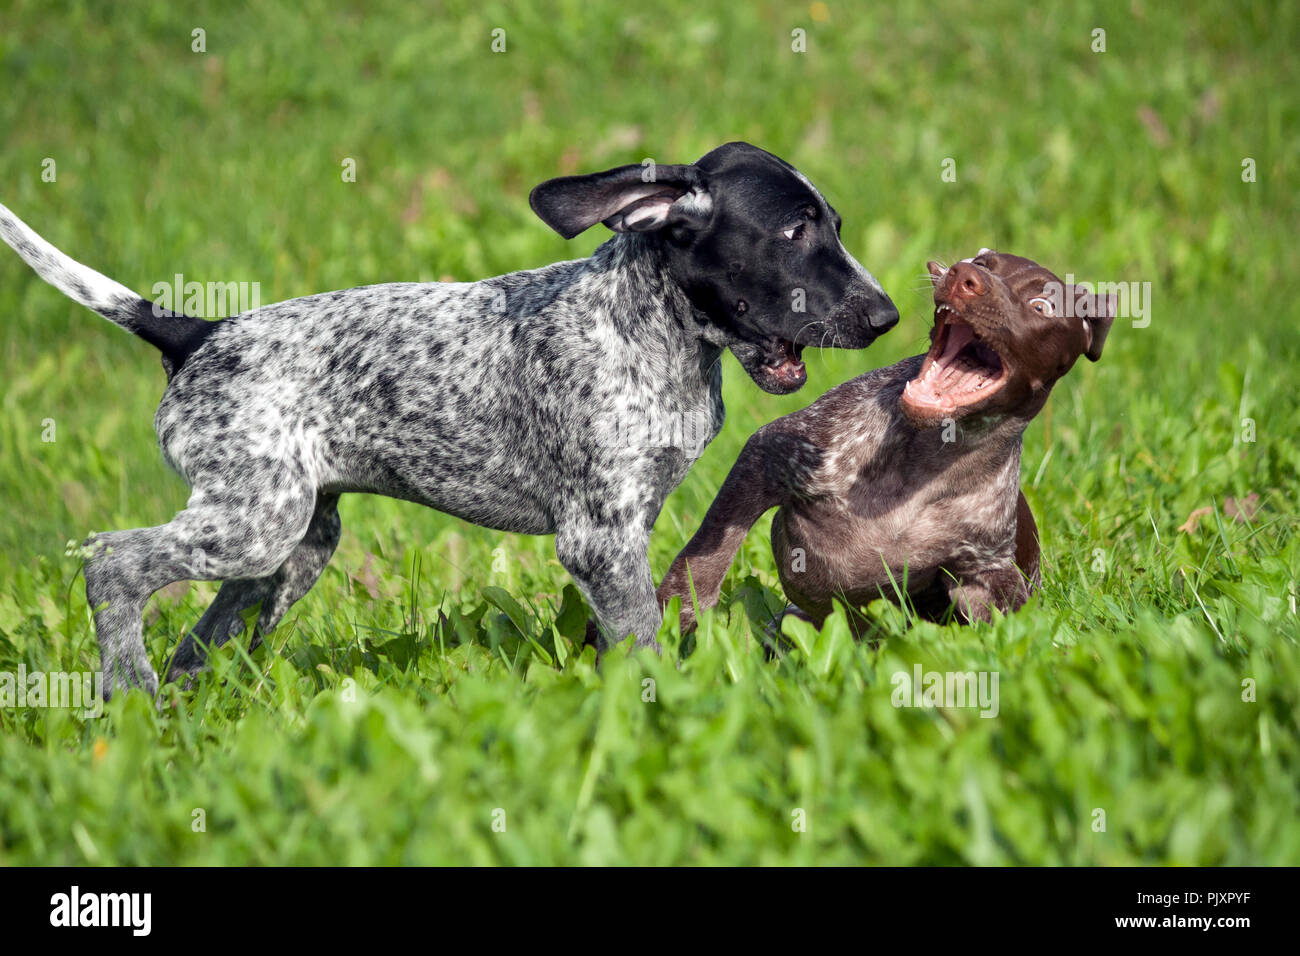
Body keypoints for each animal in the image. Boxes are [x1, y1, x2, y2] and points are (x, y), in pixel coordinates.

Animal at [0, 141, 894, 697]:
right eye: (793, 231)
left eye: (835, 227)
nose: (887, 316)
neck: (651, 326)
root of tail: (199, 332)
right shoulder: (599, 538)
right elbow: (640, 638)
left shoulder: (625, 533)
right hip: (254, 526)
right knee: (112, 564)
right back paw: (125, 689)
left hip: (287, 545)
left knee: (198, 641)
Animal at [660, 251, 1118, 632]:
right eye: (983, 262)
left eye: (1042, 306)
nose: (963, 275)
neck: (935, 459)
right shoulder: (767, 457)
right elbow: (701, 563)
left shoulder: (986, 573)